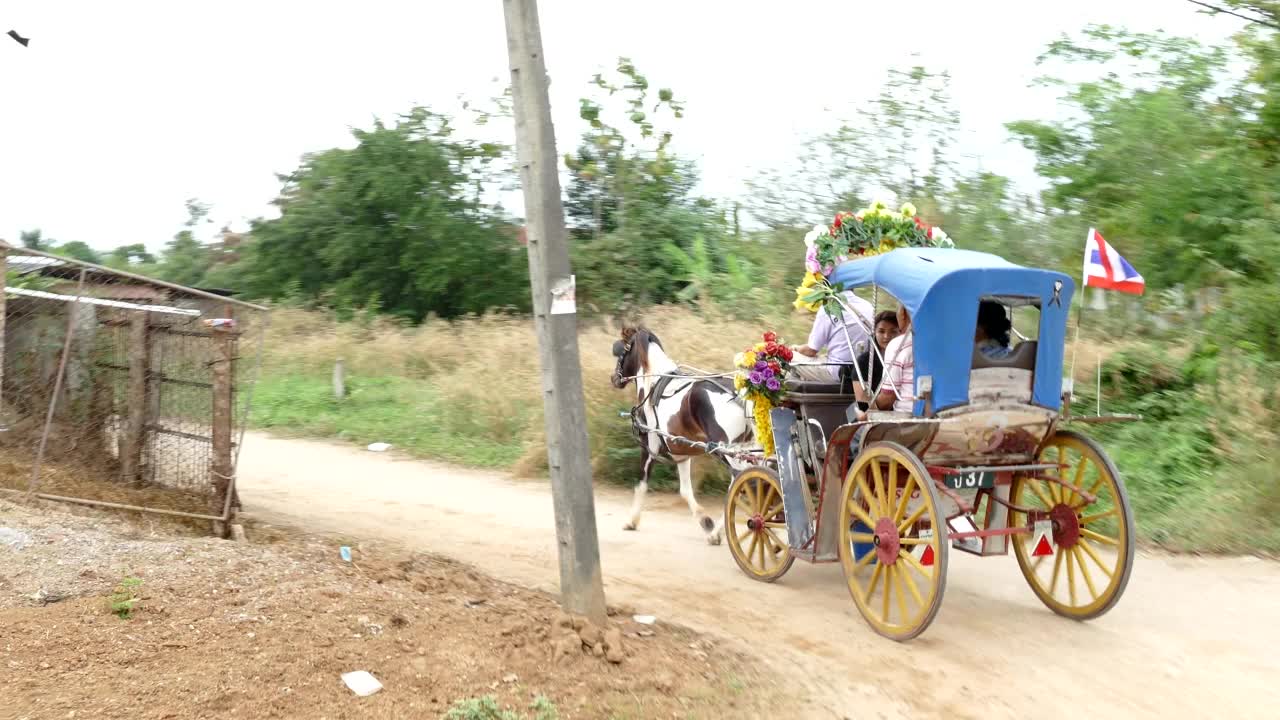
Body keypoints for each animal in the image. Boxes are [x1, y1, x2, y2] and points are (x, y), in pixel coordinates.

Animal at [611, 325, 752, 543]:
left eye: (620, 352)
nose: (614, 378)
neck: (654, 382)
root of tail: (738, 394)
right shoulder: (681, 453)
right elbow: (685, 490)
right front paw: (705, 520)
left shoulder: (649, 446)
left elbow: (641, 484)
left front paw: (632, 521)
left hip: (727, 451)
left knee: (741, 483)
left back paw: (718, 532)